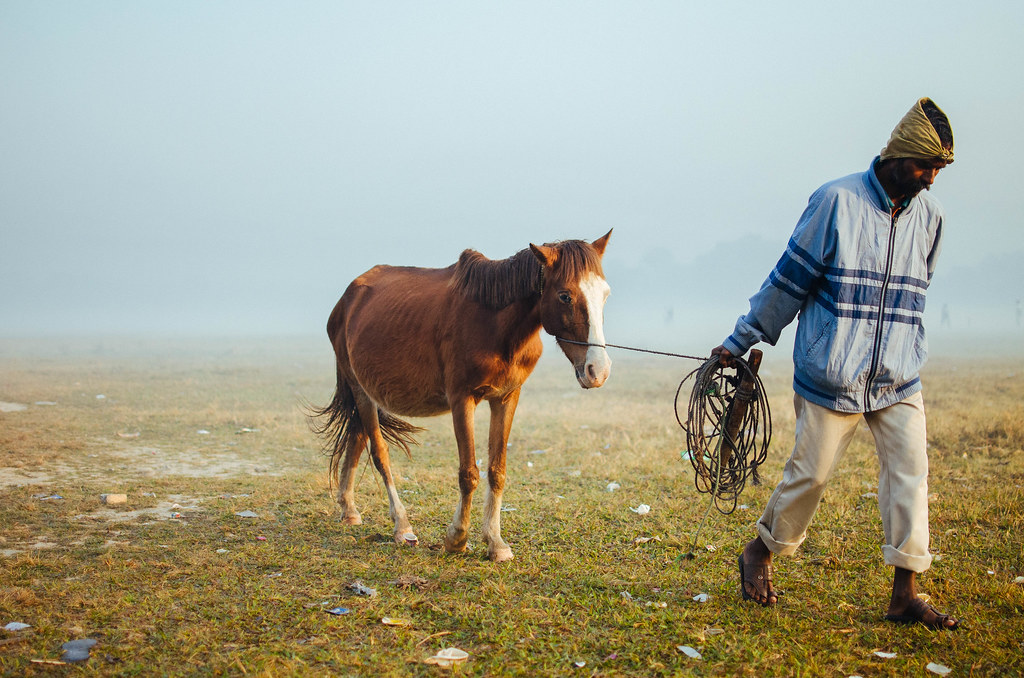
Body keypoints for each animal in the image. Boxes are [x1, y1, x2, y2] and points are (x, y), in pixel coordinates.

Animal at [311, 230, 613, 562]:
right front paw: (457, 538)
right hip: (360, 390)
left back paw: (349, 509)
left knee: (356, 438)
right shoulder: (461, 400)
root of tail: (348, 298)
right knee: (379, 452)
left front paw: (495, 542)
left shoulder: (506, 398)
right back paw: (401, 525)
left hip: (368, 393)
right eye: (565, 296)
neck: (495, 326)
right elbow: (468, 473)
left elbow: (497, 470)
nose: (598, 370)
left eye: (605, 294)